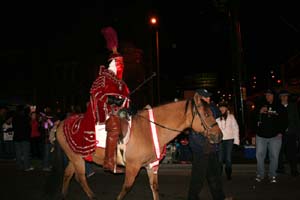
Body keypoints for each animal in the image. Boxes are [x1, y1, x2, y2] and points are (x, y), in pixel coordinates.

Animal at [55, 96, 223, 199]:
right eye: (207, 114)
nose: (219, 136)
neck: (148, 130)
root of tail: (60, 124)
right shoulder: (133, 166)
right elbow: (126, 188)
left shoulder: (151, 165)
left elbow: (155, 188)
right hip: (77, 158)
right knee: (81, 177)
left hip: (75, 157)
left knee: (69, 174)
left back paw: (63, 194)